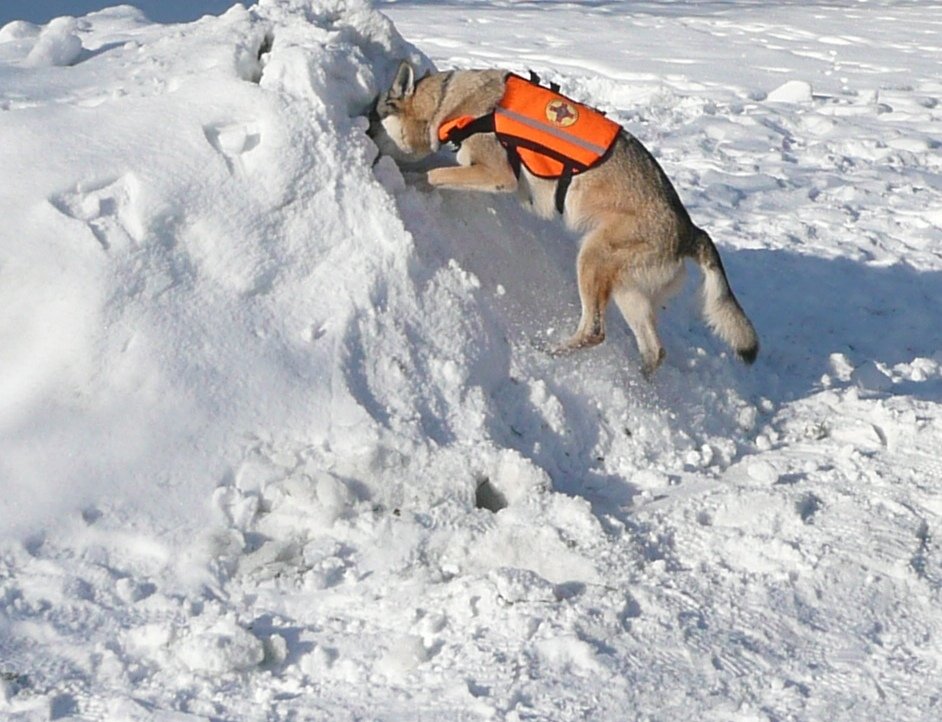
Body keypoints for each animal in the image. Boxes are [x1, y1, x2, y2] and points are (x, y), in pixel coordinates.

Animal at [368, 60, 760, 376]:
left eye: (373, 120)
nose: (364, 136)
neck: (449, 102)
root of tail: (692, 230)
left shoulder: (498, 175)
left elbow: (431, 174)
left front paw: (400, 176)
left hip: (591, 258)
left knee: (595, 332)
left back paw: (548, 352)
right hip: (625, 291)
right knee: (653, 351)